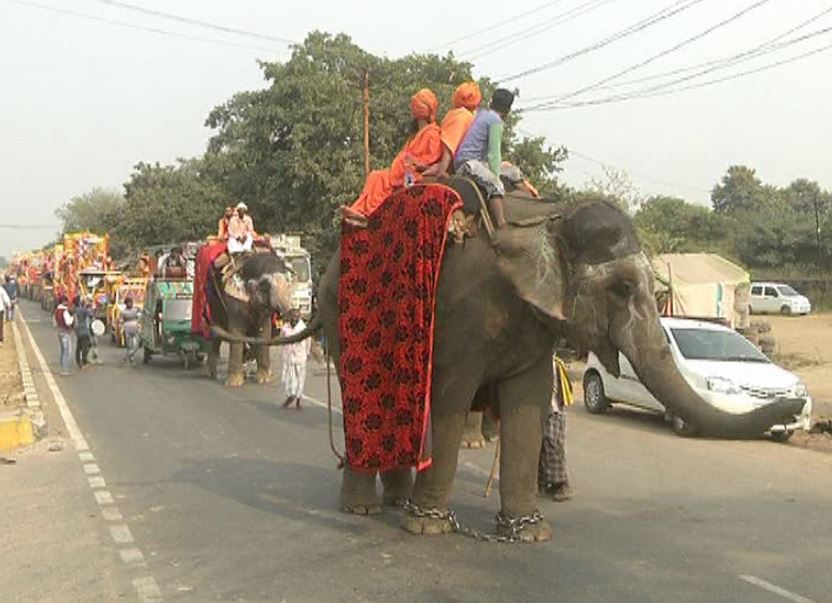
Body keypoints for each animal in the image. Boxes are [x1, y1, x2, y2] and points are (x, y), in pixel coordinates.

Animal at [205, 254, 296, 386]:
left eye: (288, 282)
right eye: (265, 285)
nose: (295, 313)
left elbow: (264, 333)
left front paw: (265, 379)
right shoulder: (234, 299)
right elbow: (236, 333)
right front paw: (233, 383)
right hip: (213, 304)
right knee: (216, 334)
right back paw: (211, 374)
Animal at [216, 192, 808, 544]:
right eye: (621, 289)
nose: (799, 404)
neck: (547, 222)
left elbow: (527, 404)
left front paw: (530, 532)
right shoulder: (467, 311)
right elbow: (452, 397)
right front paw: (429, 528)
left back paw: (396, 499)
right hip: (347, 320)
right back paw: (364, 510)